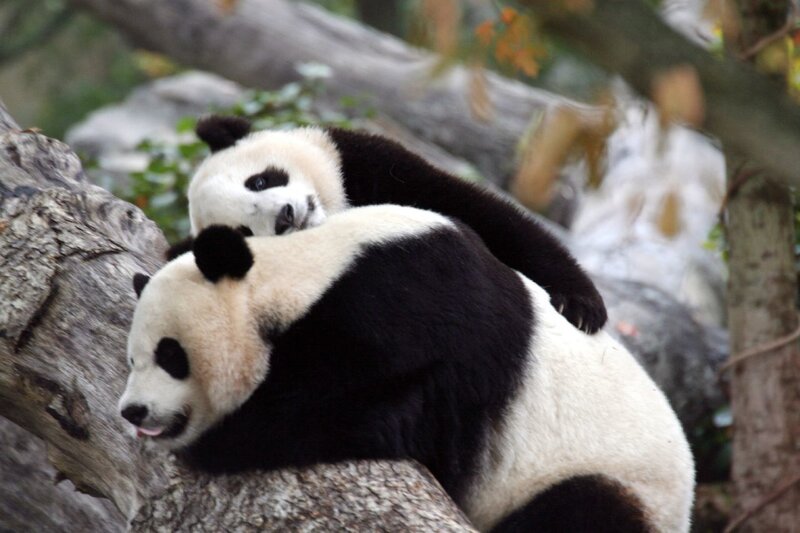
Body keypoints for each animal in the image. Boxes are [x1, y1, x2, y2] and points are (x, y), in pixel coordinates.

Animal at [120, 205, 694, 532]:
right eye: (132, 358)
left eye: (170, 355)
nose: (133, 411)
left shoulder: (409, 306)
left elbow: (353, 408)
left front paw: (218, 441)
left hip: (618, 483)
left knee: (582, 508)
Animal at [172, 115, 607, 334]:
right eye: (245, 231)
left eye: (259, 181)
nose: (286, 217)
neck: (336, 208)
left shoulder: (370, 165)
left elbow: (491, 218)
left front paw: (581, 305)